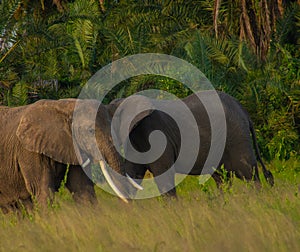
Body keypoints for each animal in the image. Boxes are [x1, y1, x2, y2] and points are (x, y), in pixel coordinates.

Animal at [109, 91, 274, 199]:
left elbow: (164, 176)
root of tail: (244, 111)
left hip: (237, 137)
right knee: (221, 178)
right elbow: (132, 172)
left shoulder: (156, 135)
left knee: (248, 173)